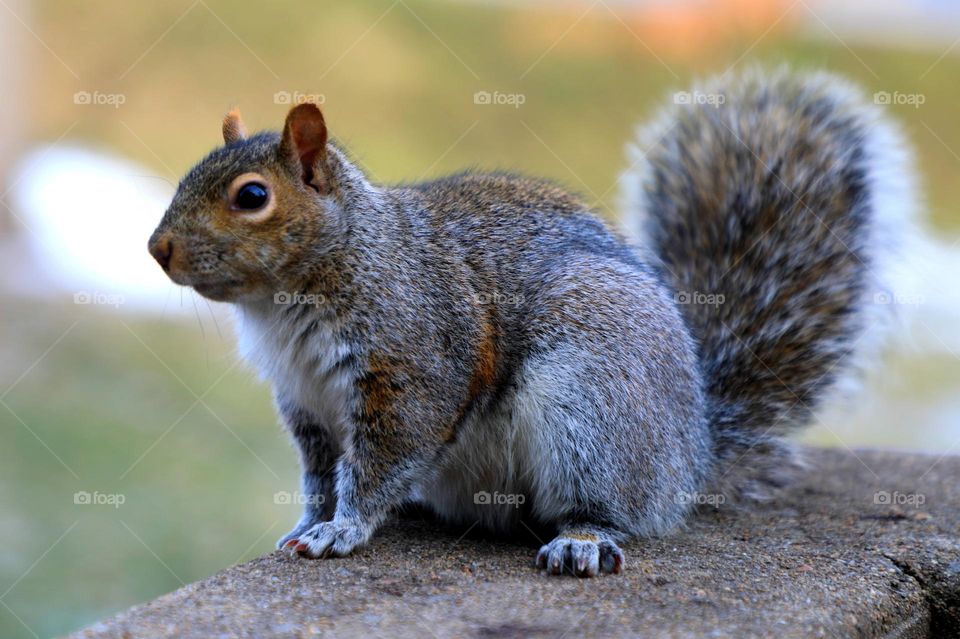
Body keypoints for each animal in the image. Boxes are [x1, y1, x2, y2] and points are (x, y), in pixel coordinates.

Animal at [148, 68, 914, 577]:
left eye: (253, 197)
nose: (158, 248)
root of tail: (692, 451)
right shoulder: (305, 401)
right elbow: (318, 473)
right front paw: (309, 521)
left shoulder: (413, 363)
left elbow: (380, 461)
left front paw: (344, 529)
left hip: (594, 407)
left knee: (610, 506)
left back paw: (582, 538)